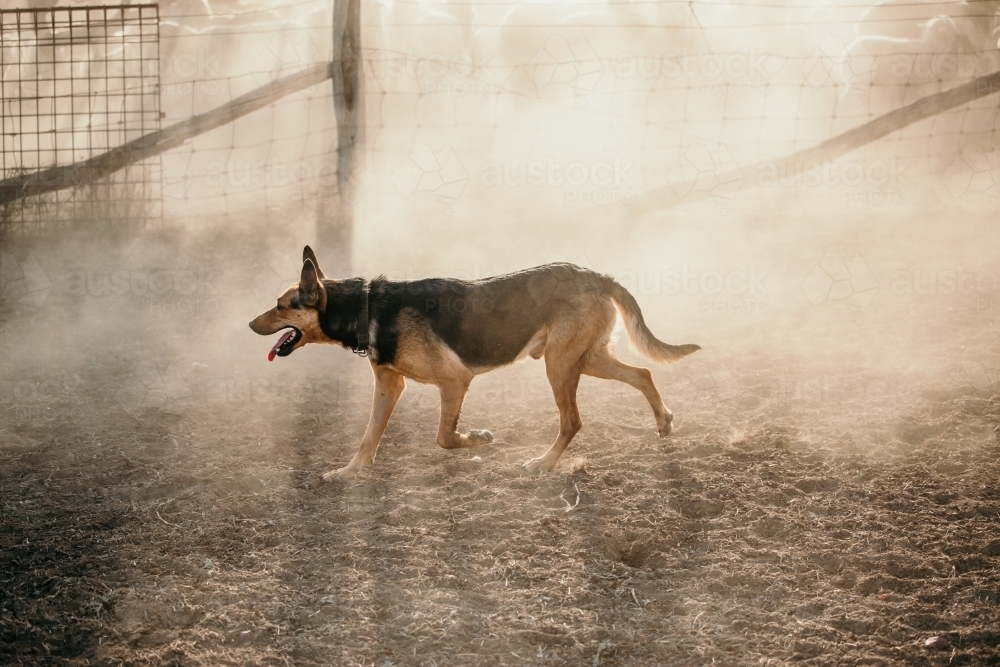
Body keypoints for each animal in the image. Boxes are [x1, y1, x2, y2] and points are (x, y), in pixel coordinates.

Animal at [249, 245, 700, 480]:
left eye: (281, 305)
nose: (251, 324)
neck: (365, 307)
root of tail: (598, 275)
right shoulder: (389, 386)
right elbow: (368, 437)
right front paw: (349, 473)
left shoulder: (455, 381)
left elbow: (444, 438)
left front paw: (478, 439)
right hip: (583, 359)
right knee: (643, 373)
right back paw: (663, 422)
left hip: (560, 366)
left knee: (572, 421)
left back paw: (544, 463)